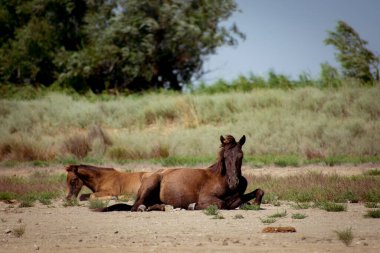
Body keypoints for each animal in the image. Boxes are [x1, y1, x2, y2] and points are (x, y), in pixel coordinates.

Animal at [99, 136, 262, 211]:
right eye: (225, 157)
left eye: (240, 156)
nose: (234, 182)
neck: (221, 178)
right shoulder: (206, 197)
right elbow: (221, 204)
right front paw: (192, 205)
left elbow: (257, 192)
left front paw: (253, 204)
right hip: (151, 184)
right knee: (137, 206)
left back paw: (165, 207)